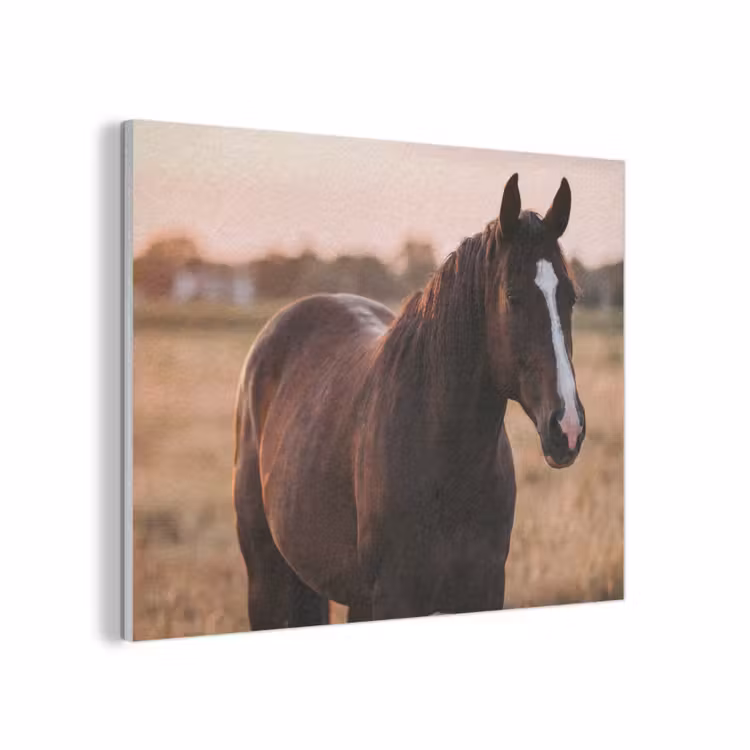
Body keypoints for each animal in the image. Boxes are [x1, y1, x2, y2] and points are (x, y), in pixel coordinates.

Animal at [232, 173, 585, 629]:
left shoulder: (484, 591)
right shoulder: (394, 598)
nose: (568, 428)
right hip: (267, 577)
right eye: (513, 297)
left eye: (570, 297)